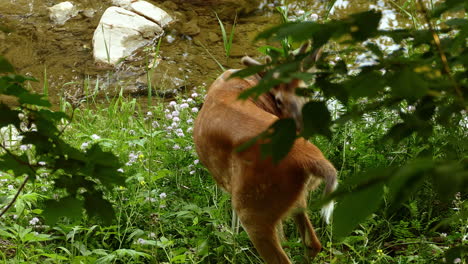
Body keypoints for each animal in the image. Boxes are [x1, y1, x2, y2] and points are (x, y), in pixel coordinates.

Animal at [192, 54, 338, 262]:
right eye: (278, 100)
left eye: (308, 92)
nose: (305, 124)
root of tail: (312, 159)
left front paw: (233, 240)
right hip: (293, 197)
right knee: (313, 244)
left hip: (255, 207)